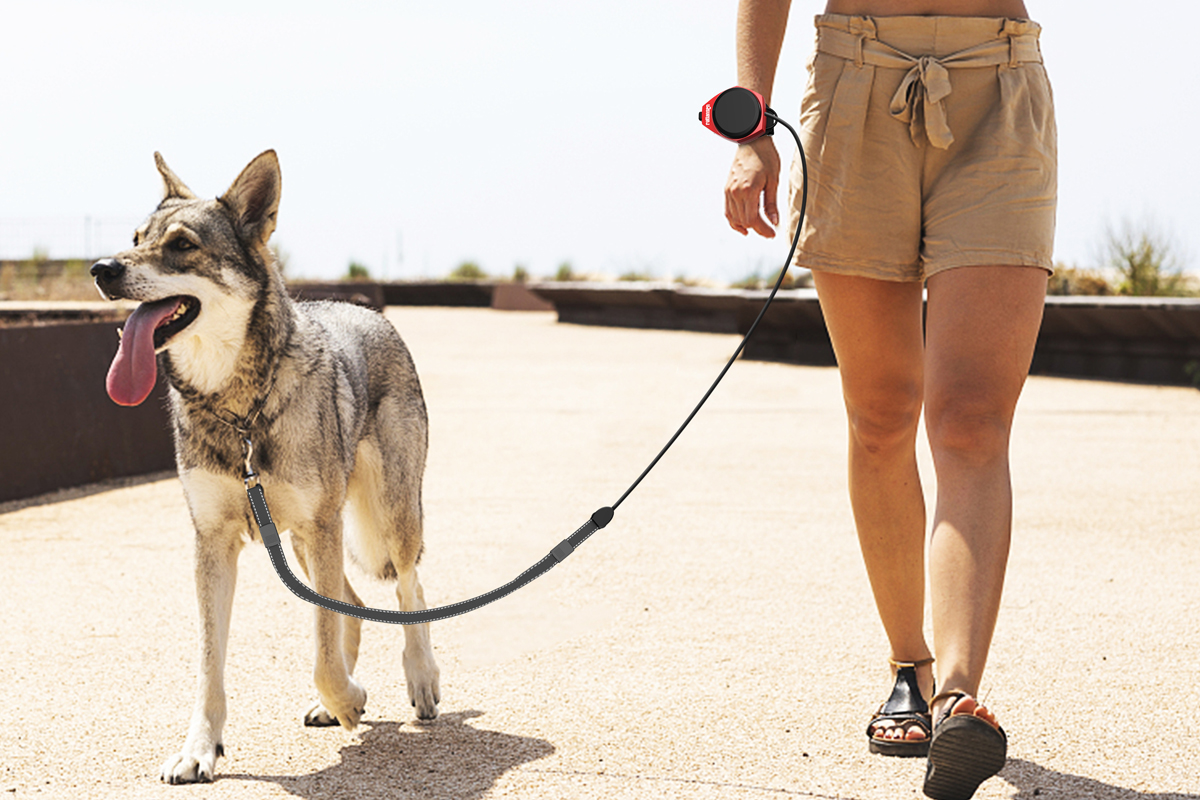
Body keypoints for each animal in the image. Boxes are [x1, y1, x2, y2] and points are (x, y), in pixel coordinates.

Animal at [92, 149, 441, 782]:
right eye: (135, 239)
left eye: (182, 245)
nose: (101, 268)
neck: (239, 409)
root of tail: (369, 311)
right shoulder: (213, 542)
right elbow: (211, 665)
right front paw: (200, 750)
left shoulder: (320, 528)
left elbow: (323, 653)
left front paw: (350, 699)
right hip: (303, 545)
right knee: (354, 606)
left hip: (384, 518)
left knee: (410, 587)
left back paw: (421, 679)